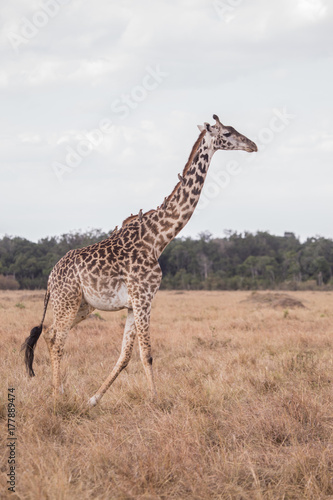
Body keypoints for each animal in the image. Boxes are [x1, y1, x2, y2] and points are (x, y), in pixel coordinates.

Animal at [22, 116, 255, 406]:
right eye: (228, 133)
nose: (253, 145)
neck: (158, 237)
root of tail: (50, 278)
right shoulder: (144, 297)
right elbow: (147, 354)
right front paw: (156, 401)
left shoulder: (133, 304)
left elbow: (125, 356)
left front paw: (94, 399)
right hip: (67, 300)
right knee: (58, 337)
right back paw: (56, 397)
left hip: (83, 306)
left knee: (50, 333)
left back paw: (60, 390)